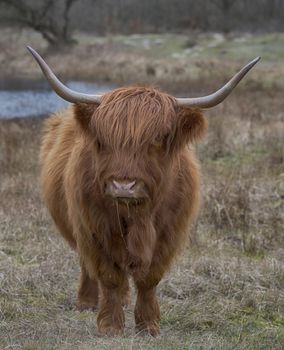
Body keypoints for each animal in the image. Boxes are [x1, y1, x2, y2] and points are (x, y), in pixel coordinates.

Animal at [27, 46, 258, 336]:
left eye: (158, 138)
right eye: (101, 140)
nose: (123, 186)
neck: (137, 216)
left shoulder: (168, 235)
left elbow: (149, 279)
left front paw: (148, 325)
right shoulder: (94, 230)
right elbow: (109, 276)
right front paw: (110, 326)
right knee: (87, 266)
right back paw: (86, 302)